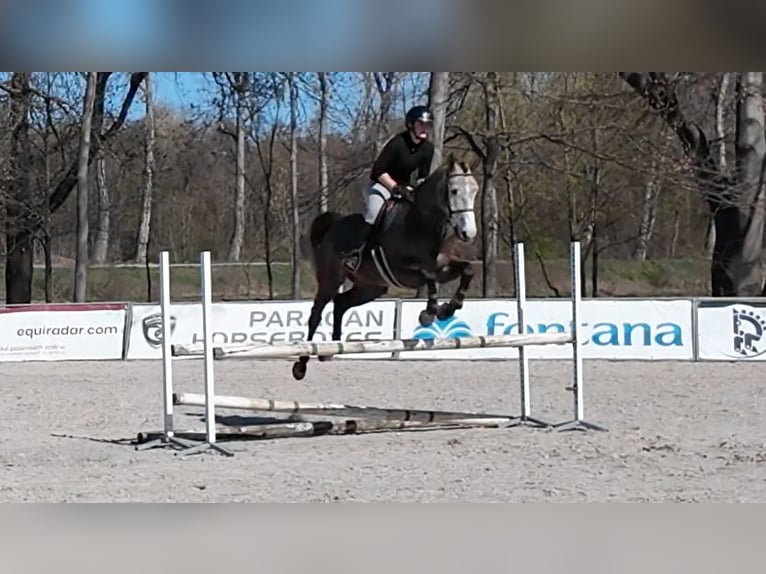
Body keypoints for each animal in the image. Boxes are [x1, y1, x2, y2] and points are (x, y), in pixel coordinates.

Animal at [292, 154, 480, 381]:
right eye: (454, 191)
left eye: (475, 190)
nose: (468, 233)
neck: (422, 224)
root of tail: (333, 226)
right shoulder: (403, 271)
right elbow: (429, 275)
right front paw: (430, 313)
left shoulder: (444, 267)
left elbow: (467, 270)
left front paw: (448, 309)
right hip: (331, 279)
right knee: (316, 315)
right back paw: (302, 363)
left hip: (371, 287)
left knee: (341, 303)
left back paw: (332, 348)